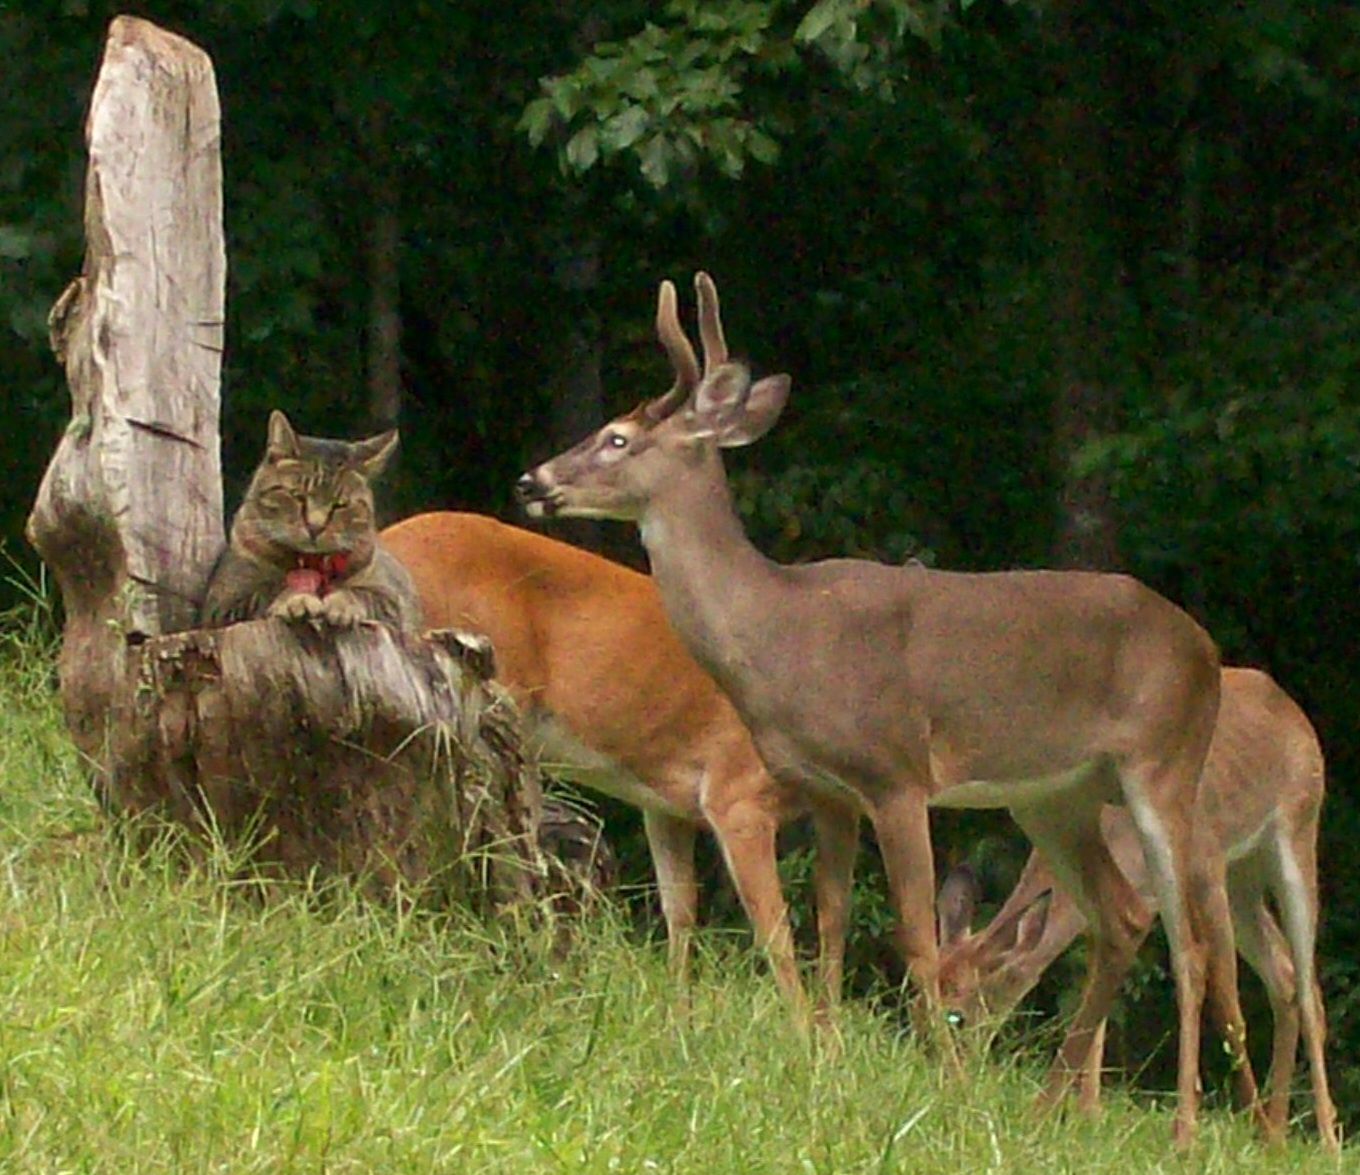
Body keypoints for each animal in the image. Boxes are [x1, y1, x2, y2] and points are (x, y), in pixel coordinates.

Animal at [198, 413, 421, 633]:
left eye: (340, 505)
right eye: (298, 496)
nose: (315, 527)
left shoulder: (392, 598)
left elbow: (359, 593)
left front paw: (342, 604)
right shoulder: (225, 601)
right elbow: (272, 590)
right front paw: (297, 599)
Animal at [380, 514, 859, 1017]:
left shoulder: (669, 803)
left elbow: (685, 909)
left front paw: (680, 1016)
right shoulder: (737, 794)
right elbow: (776, 931)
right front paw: (802, 1030)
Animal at [516, 273, 1224, 1147]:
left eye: (617, 437)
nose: (533, 481)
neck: (784, 633)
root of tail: (1205, 646)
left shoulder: (896, 774)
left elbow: (914, 933)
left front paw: (947, 1088)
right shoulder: (829, 789)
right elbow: (829, 921)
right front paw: (822, 1059)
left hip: (1165, 761)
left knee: (1189, 940)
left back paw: (1181, 1128)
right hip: (1052, 794)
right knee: (1120, 916)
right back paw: (1045, 1104)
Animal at [935, 666, 1338, 1153]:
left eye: (958, 1013)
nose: (950, 1076)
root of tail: (1293, 708)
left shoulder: (1205, 865)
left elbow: (1225, 1003)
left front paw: (1211, 1125)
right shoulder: (1129, 897)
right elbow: (1098, 988)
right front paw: (1087, 1113)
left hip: (1296, 831)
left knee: (1308, 987)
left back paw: (1323, 1139)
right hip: (1244, 878)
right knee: (1284, 974)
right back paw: (1277, 1131)